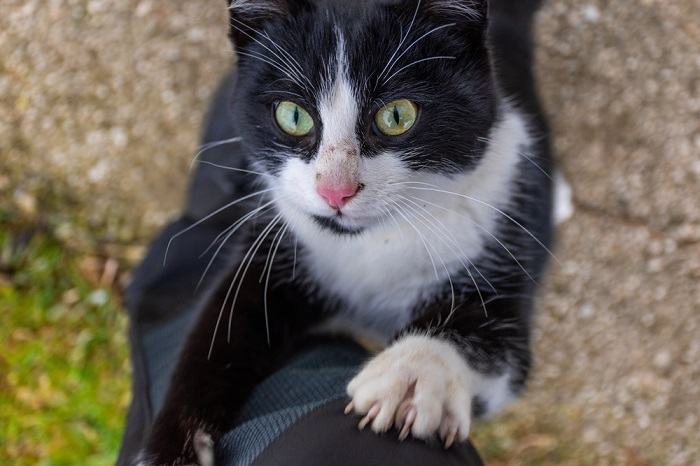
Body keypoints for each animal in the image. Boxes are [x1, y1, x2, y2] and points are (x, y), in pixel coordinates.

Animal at [137, 0, 552, 462]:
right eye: (292, 115)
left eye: (397, 115)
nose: (336, 190)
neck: (373, 241)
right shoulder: (276, 238)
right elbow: (219, 326)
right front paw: (172, 447)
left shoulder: (500, 234)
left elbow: (495, 340)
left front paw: (411, 377)